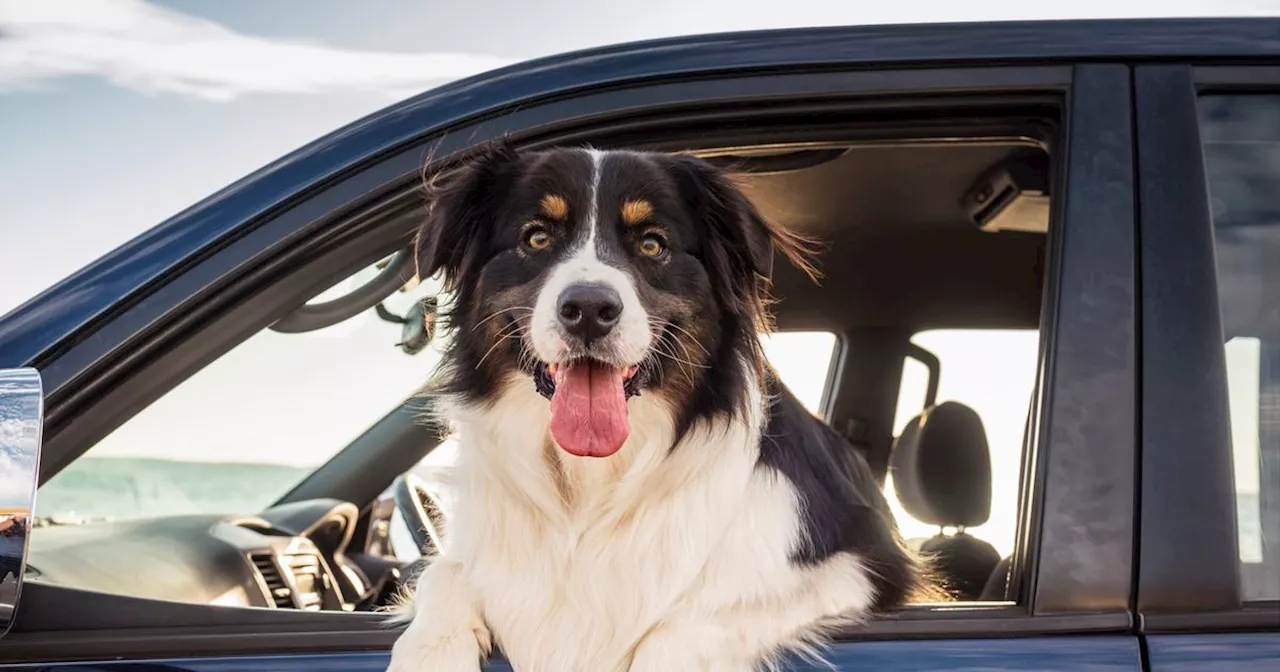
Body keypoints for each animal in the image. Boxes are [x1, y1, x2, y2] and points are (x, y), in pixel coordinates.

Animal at [384, 142, 936, 670]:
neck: (590, 487)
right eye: (536, 238)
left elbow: (685, 628)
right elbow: (443, 574)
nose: (589, 309)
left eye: (652, 244)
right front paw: (430, 652)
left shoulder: (861, 567)